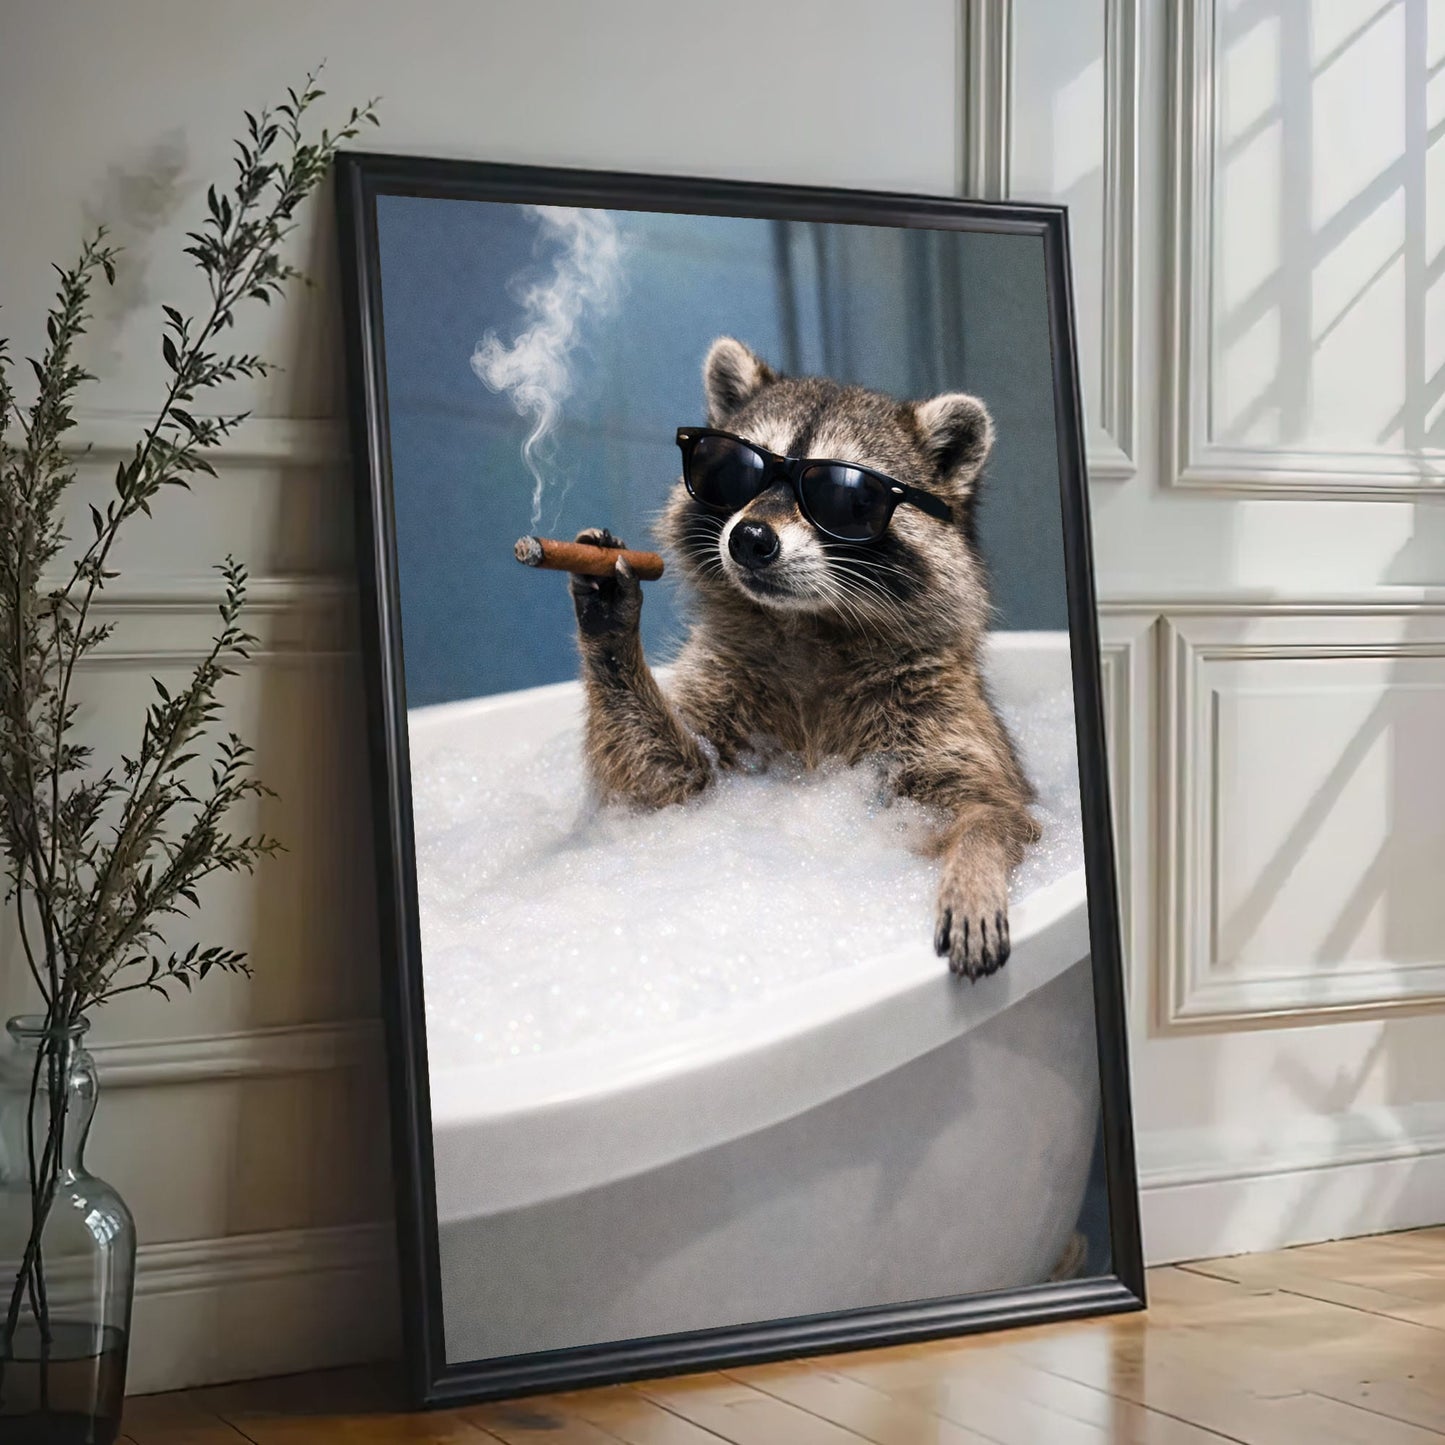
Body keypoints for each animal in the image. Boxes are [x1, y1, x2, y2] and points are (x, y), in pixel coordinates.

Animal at [569, 337, 1040, 978]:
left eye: (845, 498)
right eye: (729, 469)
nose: (750, 539)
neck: (806, 627)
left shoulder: (940, 706)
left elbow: (993, 808)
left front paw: (974, 861)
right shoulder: (722, 681)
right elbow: (660, 785)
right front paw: (612, 635)